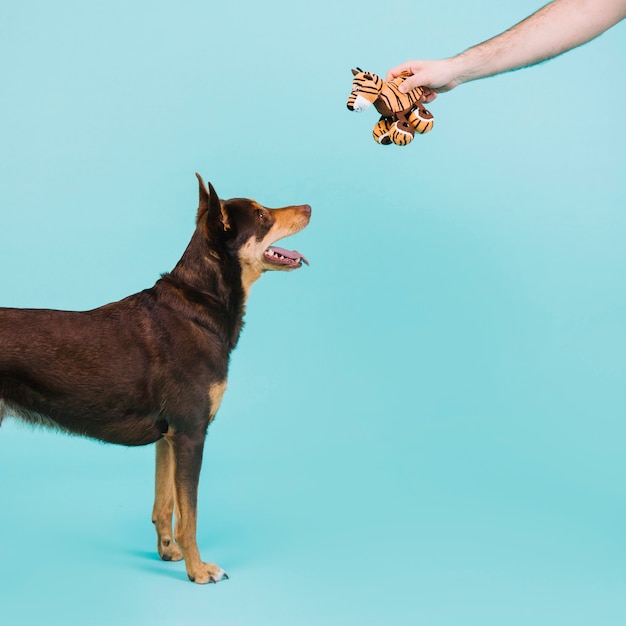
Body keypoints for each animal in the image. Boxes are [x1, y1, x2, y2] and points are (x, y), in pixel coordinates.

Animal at [0, 173, 310, 584]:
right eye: (261, 215)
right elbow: (189, 514)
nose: (309, 207)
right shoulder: (191, 433)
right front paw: (199, 571)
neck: (200, 305)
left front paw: (169, 552)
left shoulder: (169, 436)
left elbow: (165, 506)